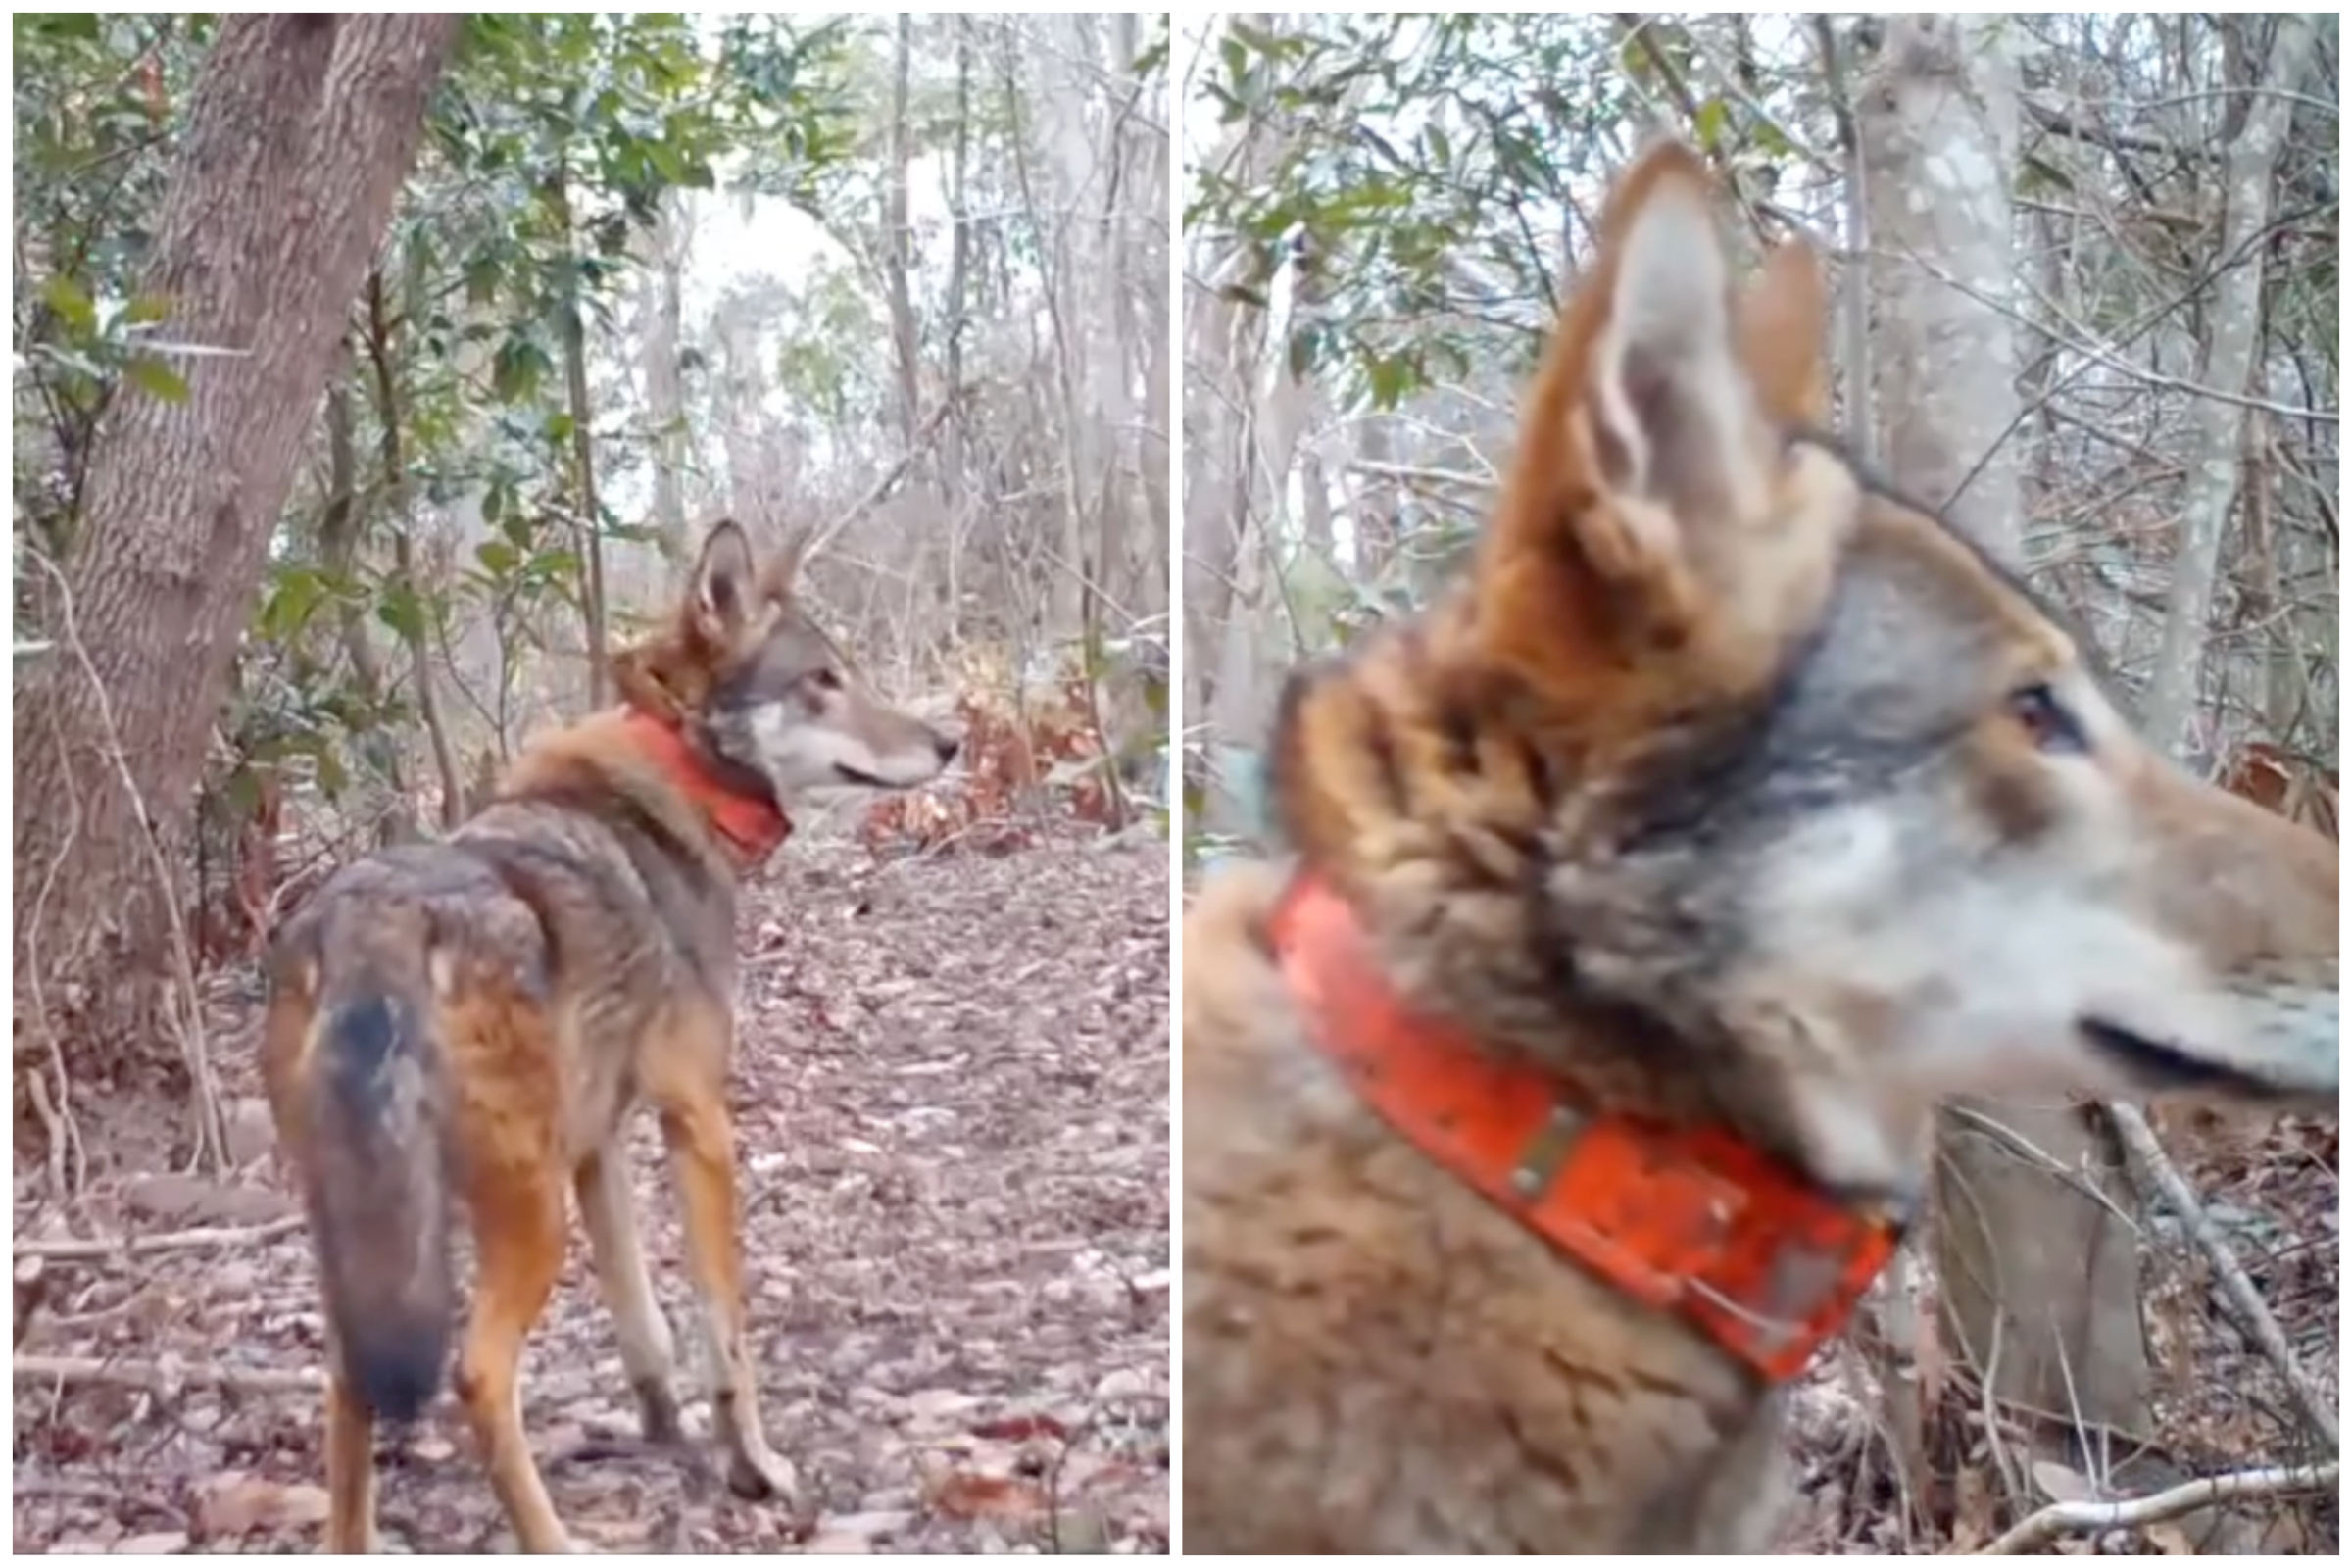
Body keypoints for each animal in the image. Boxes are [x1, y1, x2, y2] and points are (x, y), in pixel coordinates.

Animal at [261, 520, 959, 1553]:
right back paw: (553, 1541)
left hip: (381, 1235)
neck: (677, 782)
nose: (952, 740)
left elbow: (644, 1322)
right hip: (526, 1216)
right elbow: (725, 1331)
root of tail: (370, 917)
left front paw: (665, 1430)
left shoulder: (599, 1143)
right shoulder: (699, 1122)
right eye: (822, 680)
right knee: (477, 1374)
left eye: (848, 673)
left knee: (350, 1384)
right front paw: (755, 1468)